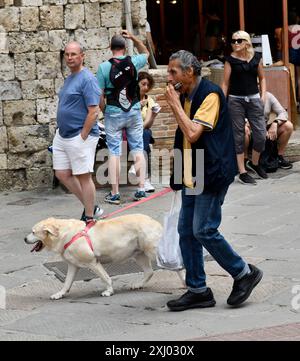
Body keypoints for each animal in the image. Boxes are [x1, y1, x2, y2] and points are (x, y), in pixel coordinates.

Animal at [23, 214, 164, 298]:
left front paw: (109, 291)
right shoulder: (73, 266)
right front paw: (60, 294)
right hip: (139, 254)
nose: (24, 239)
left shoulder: (92, 262)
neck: (64, 234)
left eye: (33, 232)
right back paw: (139, 284)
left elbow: (106, 278)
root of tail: (155, 222)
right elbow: (67, 283)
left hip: (152, 250)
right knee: (149, 272)